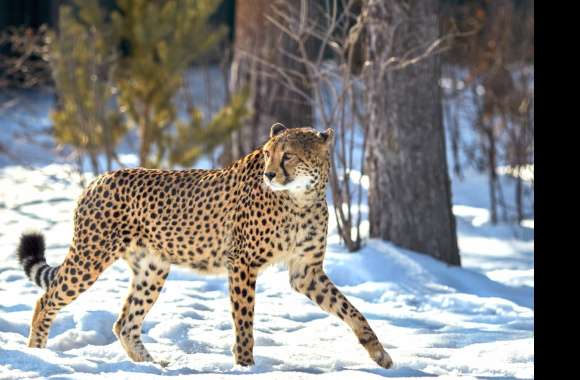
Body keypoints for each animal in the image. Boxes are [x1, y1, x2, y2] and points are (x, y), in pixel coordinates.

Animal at [15, 123, 394, 370]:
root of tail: (99, 178)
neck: (300, 197)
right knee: (46, 299)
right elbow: (244, 323)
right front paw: (246, 367)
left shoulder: (306, 272)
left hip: (153, 269)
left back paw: (153, 367)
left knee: (125, 323)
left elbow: (350, 309)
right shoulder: (242, 263)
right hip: (91, 258)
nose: (270, 174)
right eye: (268, 154)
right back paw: (38, 354)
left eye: (288, 156)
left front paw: (379, 353)